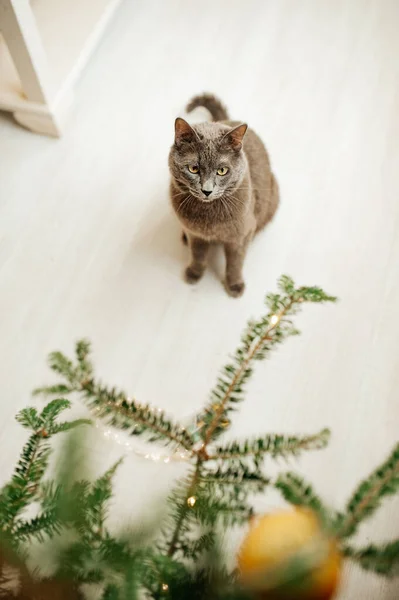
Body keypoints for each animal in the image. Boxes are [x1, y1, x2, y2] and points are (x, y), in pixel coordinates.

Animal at [170, 94, 280, 298]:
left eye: (222, 171)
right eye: (193, 168)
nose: (207, 190)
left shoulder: (240, 235)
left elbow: (235, 262)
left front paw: (235, 285)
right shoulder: (196, 234)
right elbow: (197, 254)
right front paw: (194, 273)